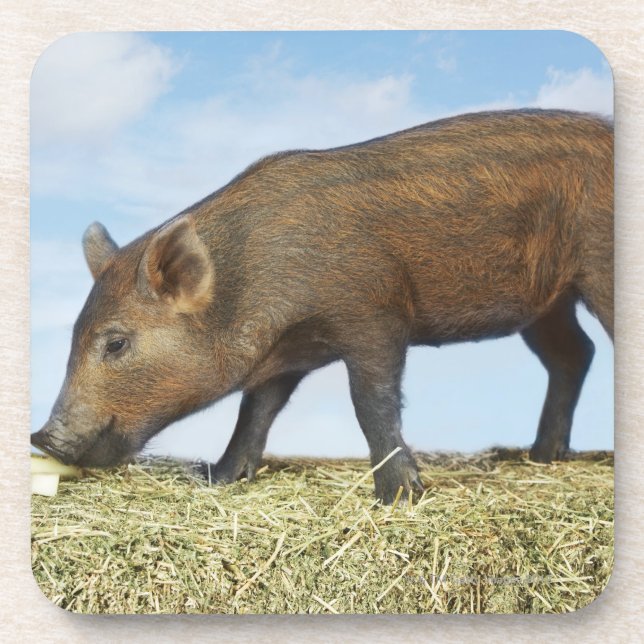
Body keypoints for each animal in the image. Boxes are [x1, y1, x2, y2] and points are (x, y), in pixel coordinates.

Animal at [31, 109, 613, 504]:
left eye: (116, 342)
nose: (42, 436)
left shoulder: (376, 313)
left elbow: (371, 402)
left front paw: (400, 496)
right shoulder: (286, 356)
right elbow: (256, 411)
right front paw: (219, 478)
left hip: (598, 269)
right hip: (548, 303)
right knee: (574, 354)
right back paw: (540, 456)